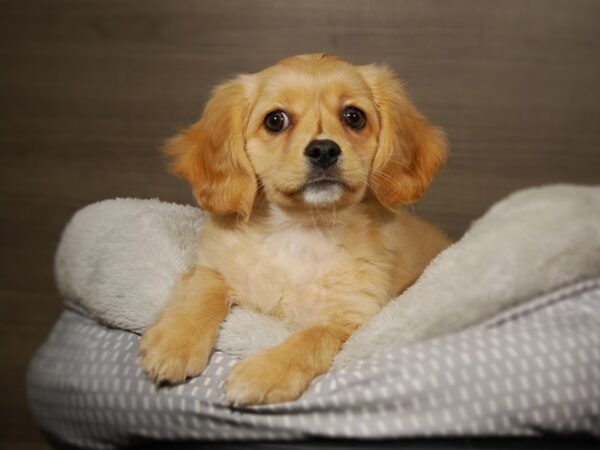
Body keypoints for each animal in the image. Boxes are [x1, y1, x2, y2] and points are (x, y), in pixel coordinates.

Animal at [139, 52, 450, 404]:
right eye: (275, 120)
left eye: (354, 117)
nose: (324, 150)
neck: (300, 232)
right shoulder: (214, 266)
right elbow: (202, 291)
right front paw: (174, 342)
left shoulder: (355, 318)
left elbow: (313, 337)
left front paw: (267, 372)